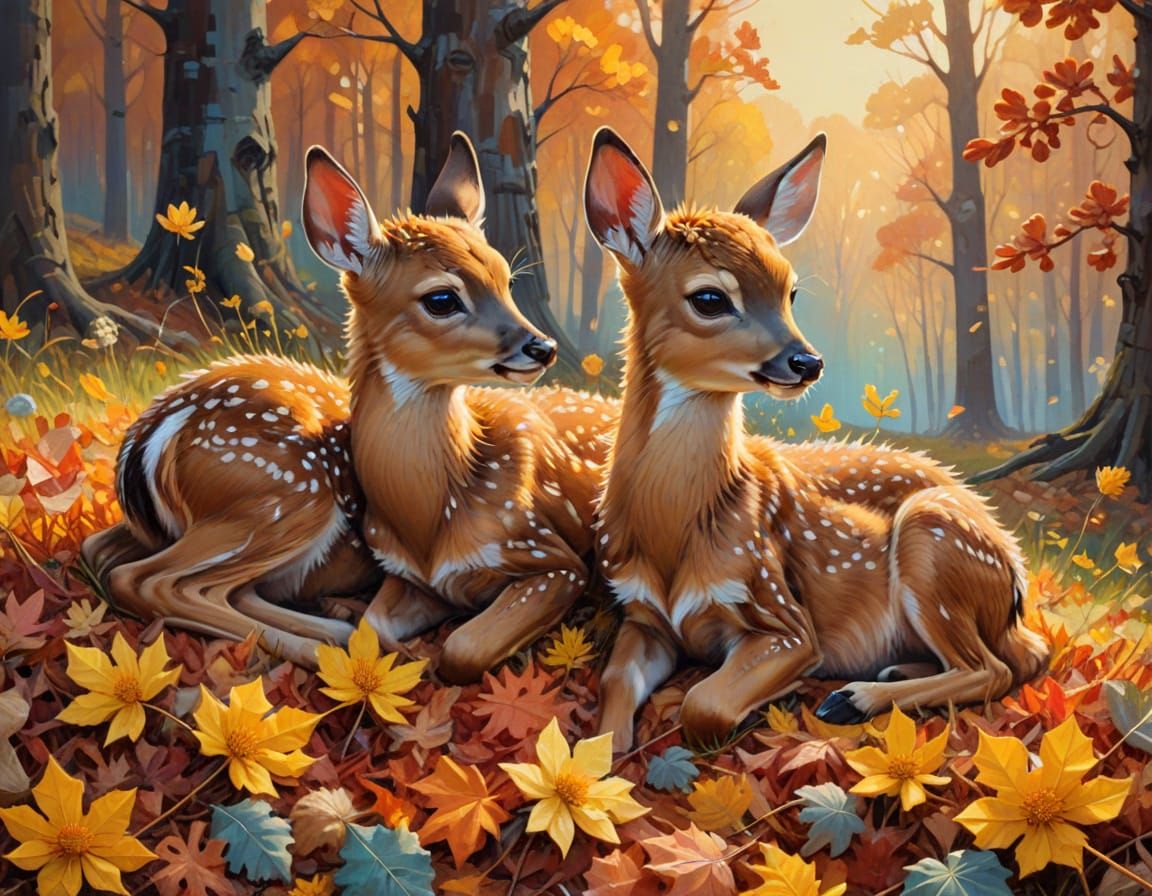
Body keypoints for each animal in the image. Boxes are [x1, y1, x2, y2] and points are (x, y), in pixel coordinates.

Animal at [82, 134, 617, 676]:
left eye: (505, 279)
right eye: (442, 299)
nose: (541, 346)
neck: (435, 519)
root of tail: (151, 434)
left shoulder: (547, 555)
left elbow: (449, 642)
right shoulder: (546, 556)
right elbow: (447, 644)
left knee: (108, 552)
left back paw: (329, 624)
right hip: (281, 494)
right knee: (147, 579)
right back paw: (318, 641)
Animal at [582, 128, 1049, 752]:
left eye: (791, 291)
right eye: (709, 298)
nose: (806, 362)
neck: (673, 530)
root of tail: (1015, 577)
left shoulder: (785, 616)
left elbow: (704, 704)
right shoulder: (641, 614)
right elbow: (612, 690)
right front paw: (596, 762)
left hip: (933, 539)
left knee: (997, 667)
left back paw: (854, 697)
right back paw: (890, 671)